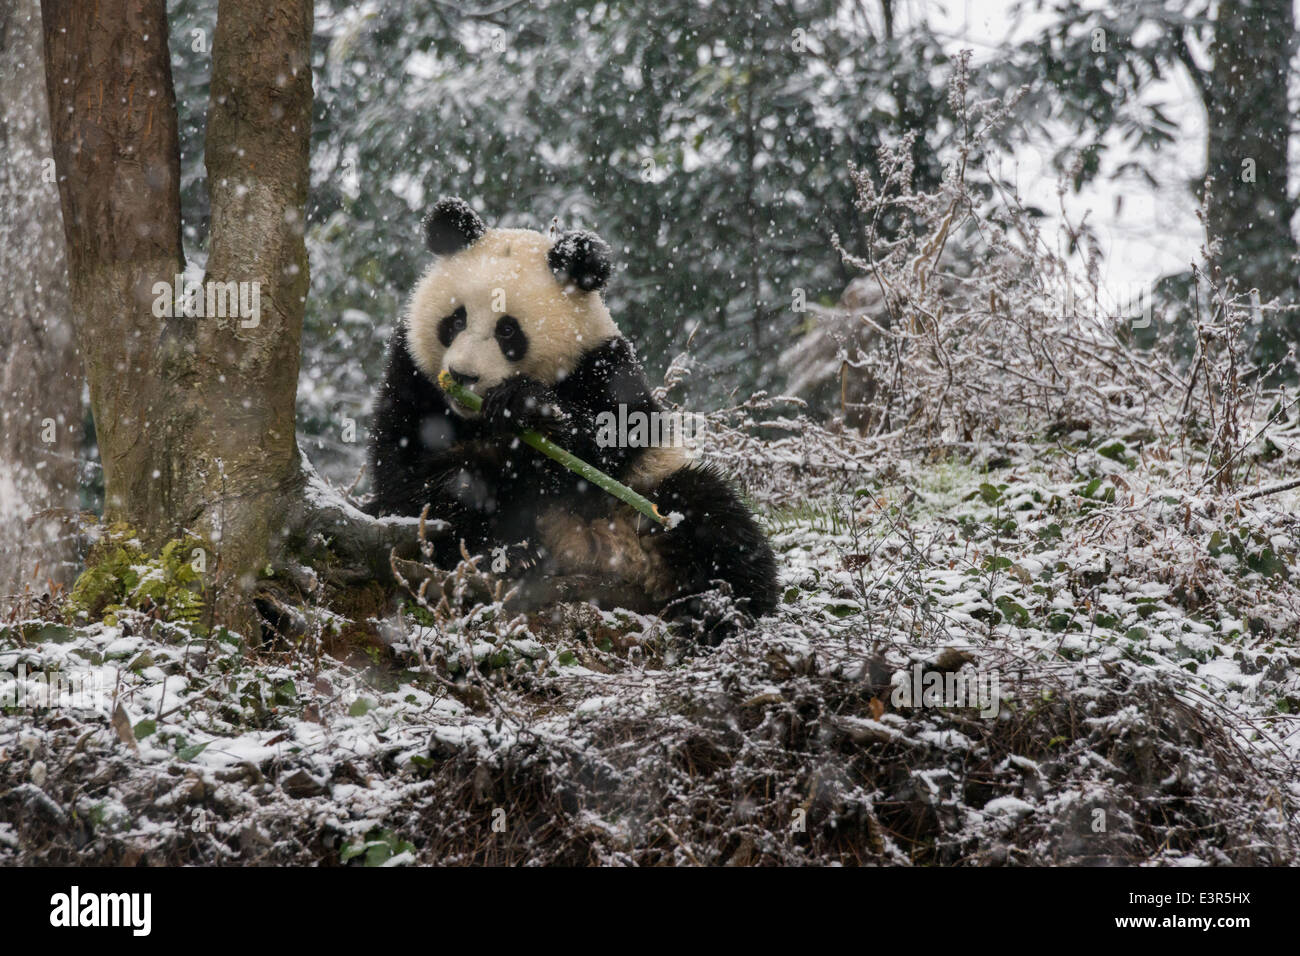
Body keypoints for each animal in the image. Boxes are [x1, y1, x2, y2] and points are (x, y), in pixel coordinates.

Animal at [366, 195, 774, 634]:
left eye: (508, 331)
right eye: (455, 320)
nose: (462, 376)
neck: (474, 420)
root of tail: (605, 561)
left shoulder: (604, 365)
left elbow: (614, 436)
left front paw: (524, 404)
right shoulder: (412, 378)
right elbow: (414, 476)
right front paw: (505, 549)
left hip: (645, 496)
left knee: (714, 522)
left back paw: (723, 609)